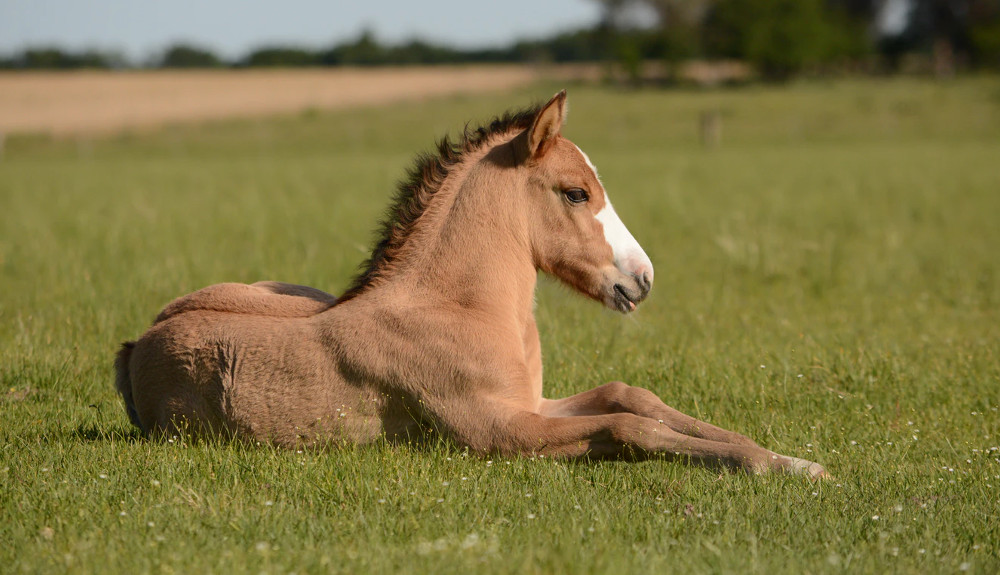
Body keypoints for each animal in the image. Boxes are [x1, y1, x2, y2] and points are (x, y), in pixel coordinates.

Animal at [117, 90, 828, 480]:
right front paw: (770, 466)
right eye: (576, 192)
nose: (642, 278)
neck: (459, 309)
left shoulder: (532, 404)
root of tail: (136, 343)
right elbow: (631, 428)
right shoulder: (497, 432)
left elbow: (633, 397)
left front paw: (790, 460)